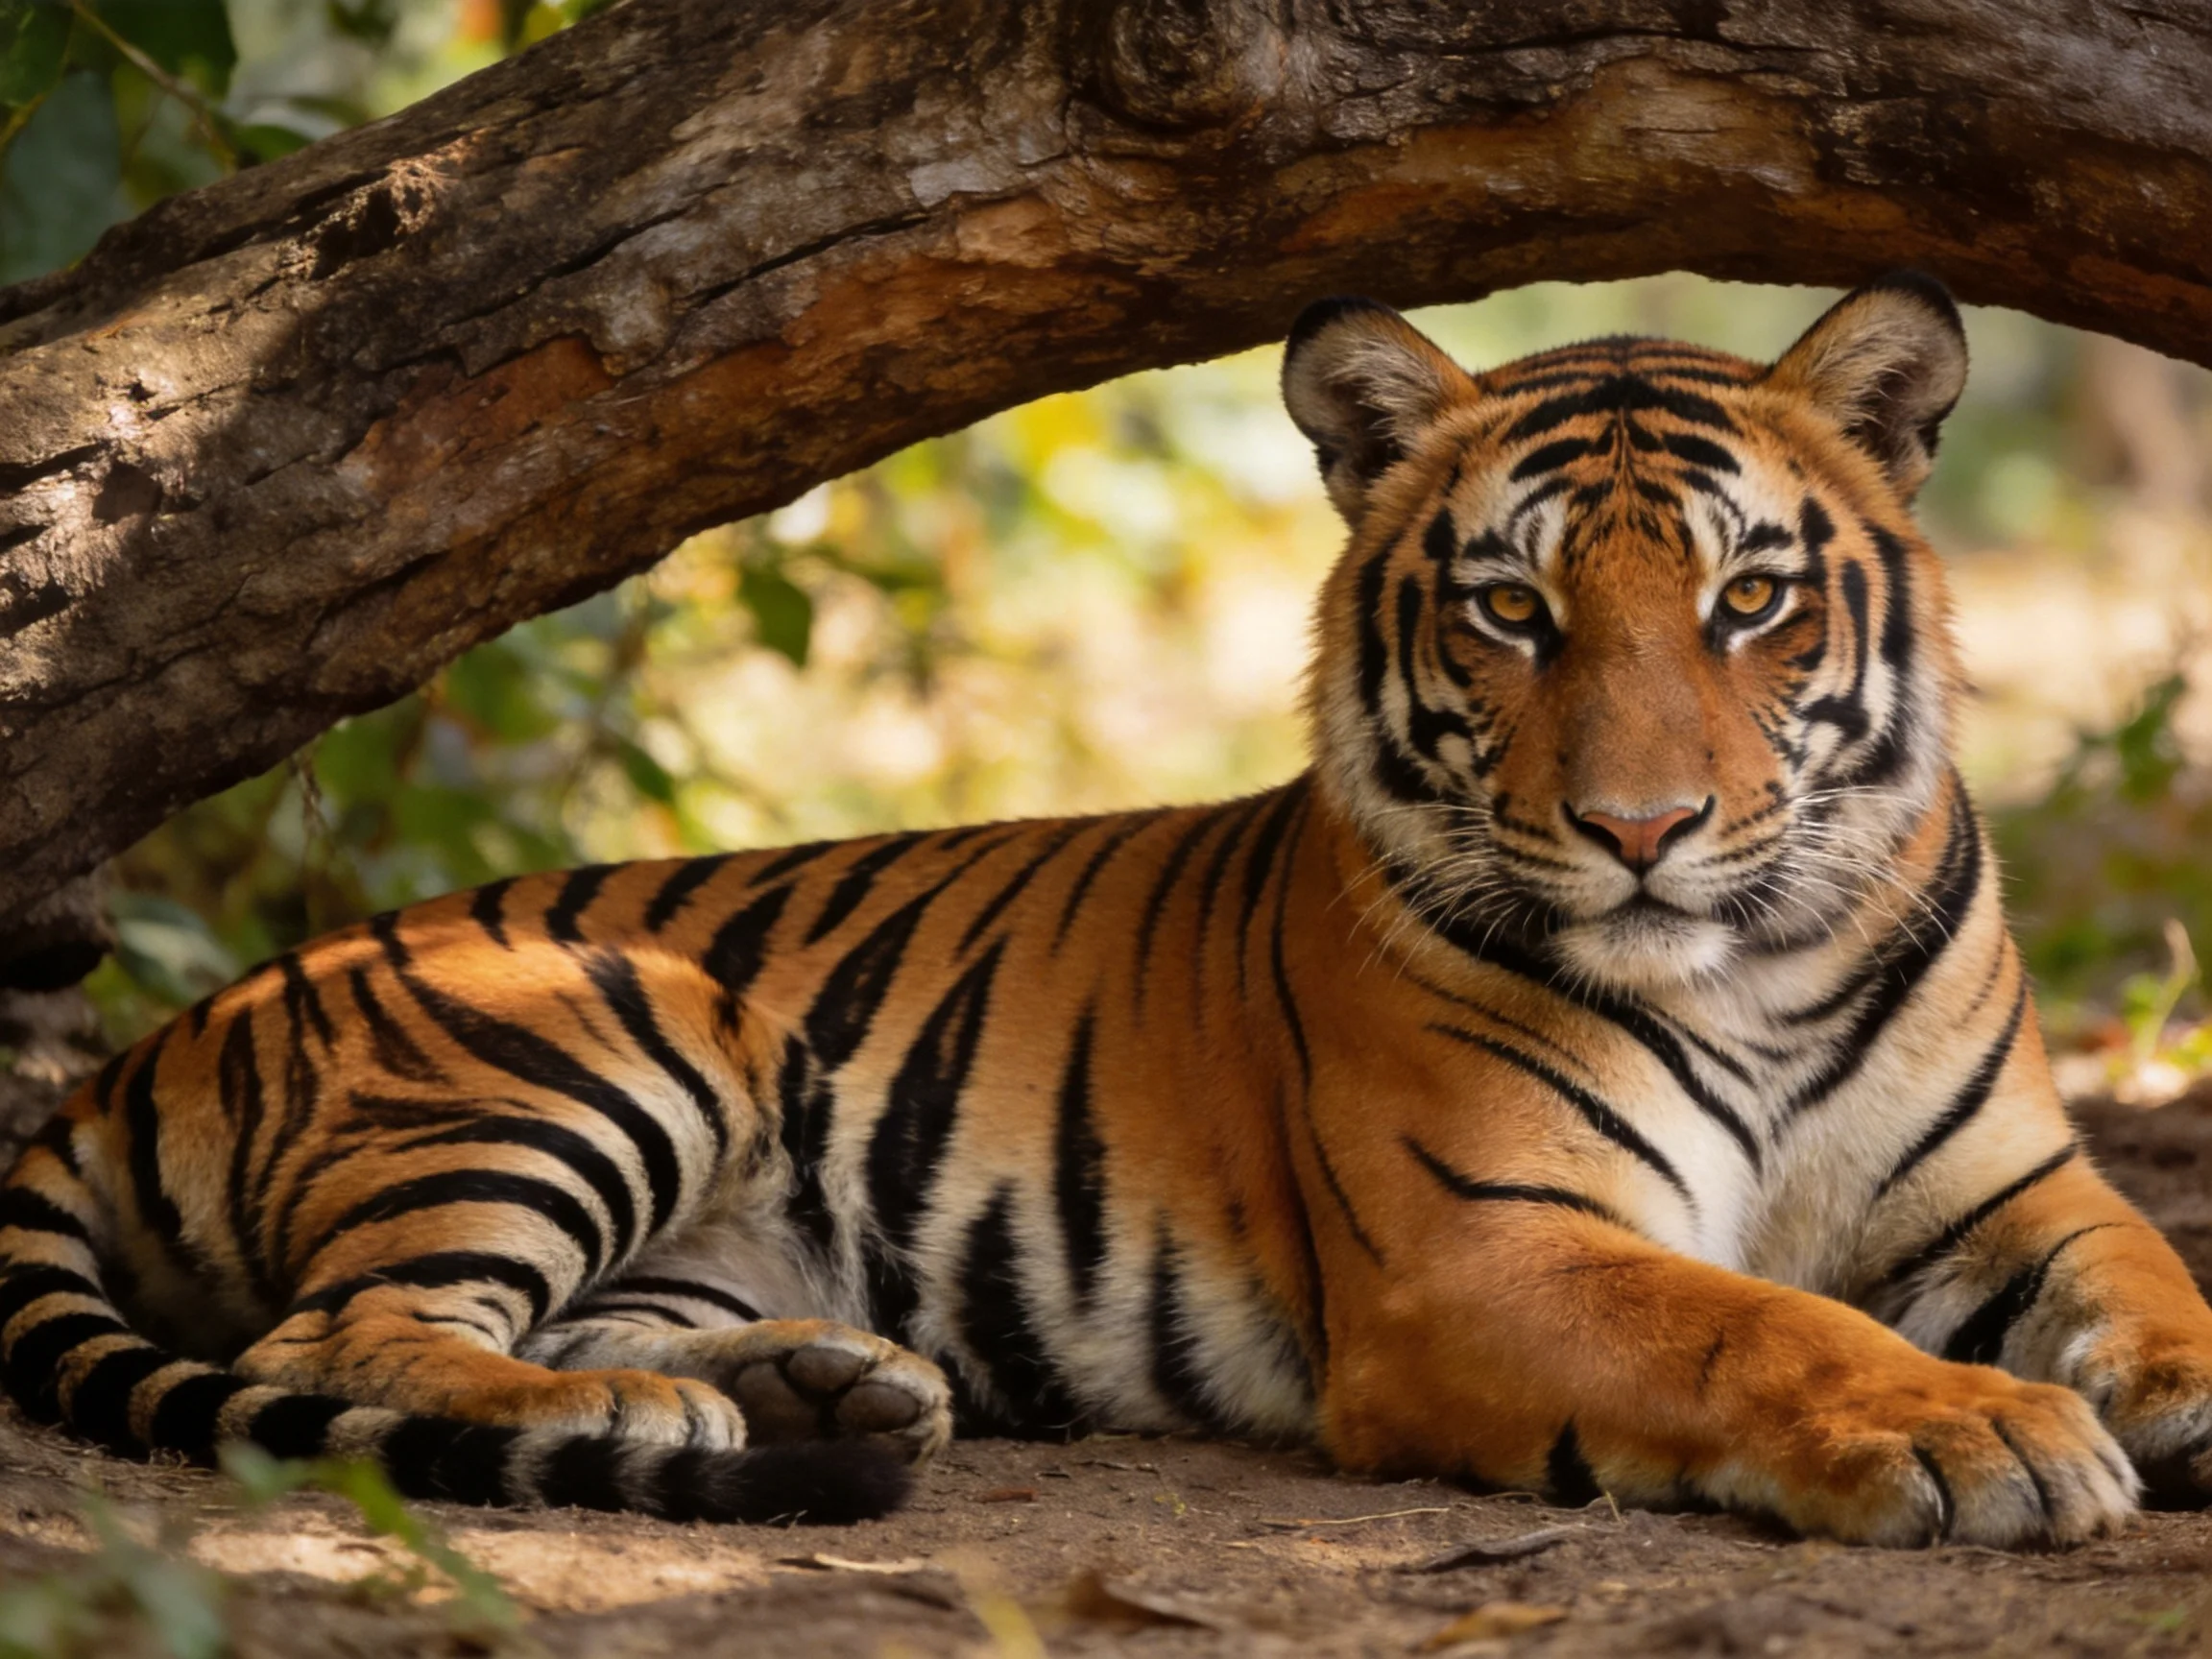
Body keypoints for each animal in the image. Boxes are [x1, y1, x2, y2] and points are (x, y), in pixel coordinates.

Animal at [5, 271, 2211, 1543]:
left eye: (1749, 598)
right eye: (1511, 610)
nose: (1642, 826)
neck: (1758, 967)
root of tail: (155, 1037)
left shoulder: (2019, 1190)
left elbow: (2156, 1278)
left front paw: (2150, 1401)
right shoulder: (1484, 1251)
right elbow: (1753, 1322)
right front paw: (1987, 1434)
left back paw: (824, 1385)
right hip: (603, 1034)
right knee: (350, 1339)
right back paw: (652, 1410)